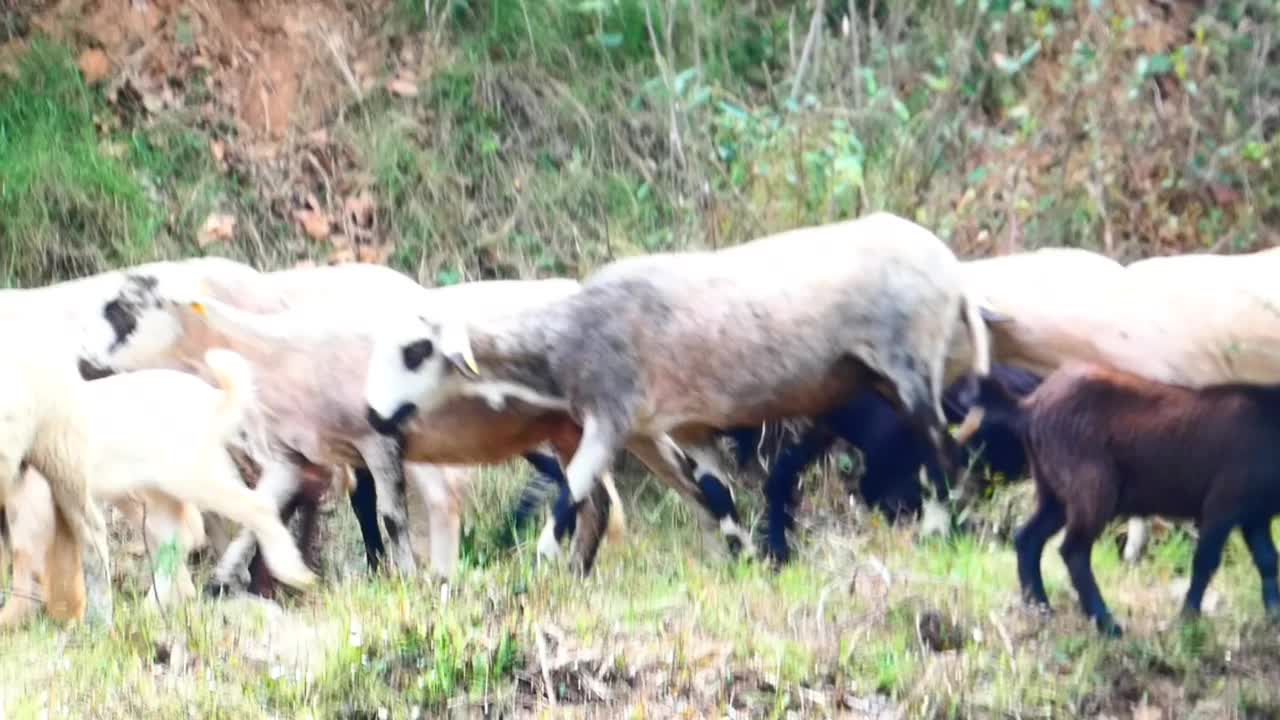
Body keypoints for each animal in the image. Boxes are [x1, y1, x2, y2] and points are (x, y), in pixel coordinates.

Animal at [360, 210, 988, 550]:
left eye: (417, 351)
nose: (372, 414)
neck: (566, 338)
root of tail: (950, 268)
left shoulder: (611, 418)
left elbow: (568, 498)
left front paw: (538, 571)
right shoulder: (684, 424)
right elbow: (718, 495)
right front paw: (744, 559)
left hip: (911, 366)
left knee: (941, 451)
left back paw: (940, 530)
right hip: (880, 380)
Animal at [967, 361, 1280, 635]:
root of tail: (1029, 406)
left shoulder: (1256, 514)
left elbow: (1267, 559)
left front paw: (1274, 615)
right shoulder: (1223, 504)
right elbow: (1205, 561)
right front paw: (1187, 619)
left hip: (1053, 492)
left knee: (1027, 538)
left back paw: (1041, 608)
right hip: (1093, 486)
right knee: (1073, 550)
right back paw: (1107, 624)